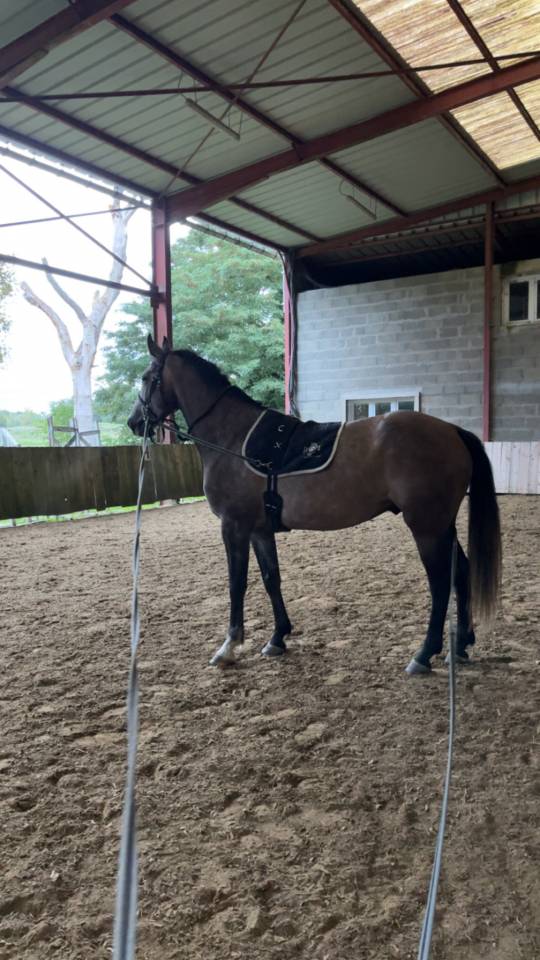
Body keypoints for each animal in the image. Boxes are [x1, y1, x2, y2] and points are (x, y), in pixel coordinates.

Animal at [128, 335, 501, 674]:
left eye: (146, 377)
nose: (134, 422)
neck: (233, 437)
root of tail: (451, 431)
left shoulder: (233, 526)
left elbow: (237, 583)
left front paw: (229, 646)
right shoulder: (260, 529)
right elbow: (271, 578)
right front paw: (277, 638)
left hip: (426, 527)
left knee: (440, 582)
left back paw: (424, 655)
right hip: (442, 525)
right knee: (461, 571)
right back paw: (461, 646)